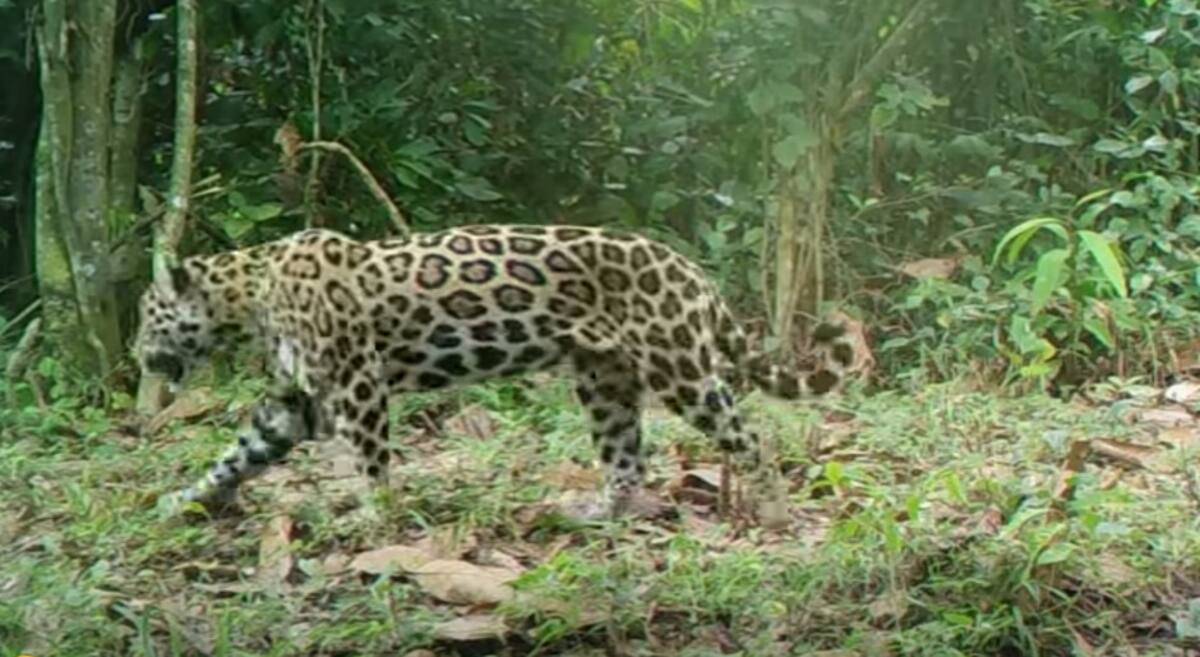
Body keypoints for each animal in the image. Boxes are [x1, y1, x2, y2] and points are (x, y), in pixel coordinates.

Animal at [135, 223, 857, 526]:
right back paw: (595, 514)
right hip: (604, 378)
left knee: (752, 437)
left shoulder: (356, 380)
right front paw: (187, 498)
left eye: (147, 315)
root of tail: (690, 269)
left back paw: (776, 512)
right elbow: (239, 452)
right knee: (627, 458)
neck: (250, 294)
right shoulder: (295, 400)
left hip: (678, 364)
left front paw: (372, 518)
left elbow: (370, 459)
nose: (137, 356)